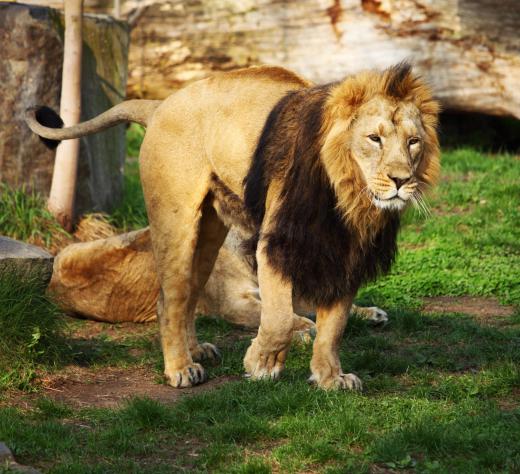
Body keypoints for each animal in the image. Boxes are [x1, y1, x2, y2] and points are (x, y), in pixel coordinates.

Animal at [25, 62, 438, 388]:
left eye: (413, 142)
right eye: (374, 138)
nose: (401, 180)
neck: (349, 197)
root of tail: (161, 104)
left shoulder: (348, 253)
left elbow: (333, 326)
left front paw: (329, 378)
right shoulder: (274, 245)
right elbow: (279, 318)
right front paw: (262, 364)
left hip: (209, 231)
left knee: (191, 293)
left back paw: (196, 352)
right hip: (175, 221)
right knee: (170, 297)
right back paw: (180, 369)